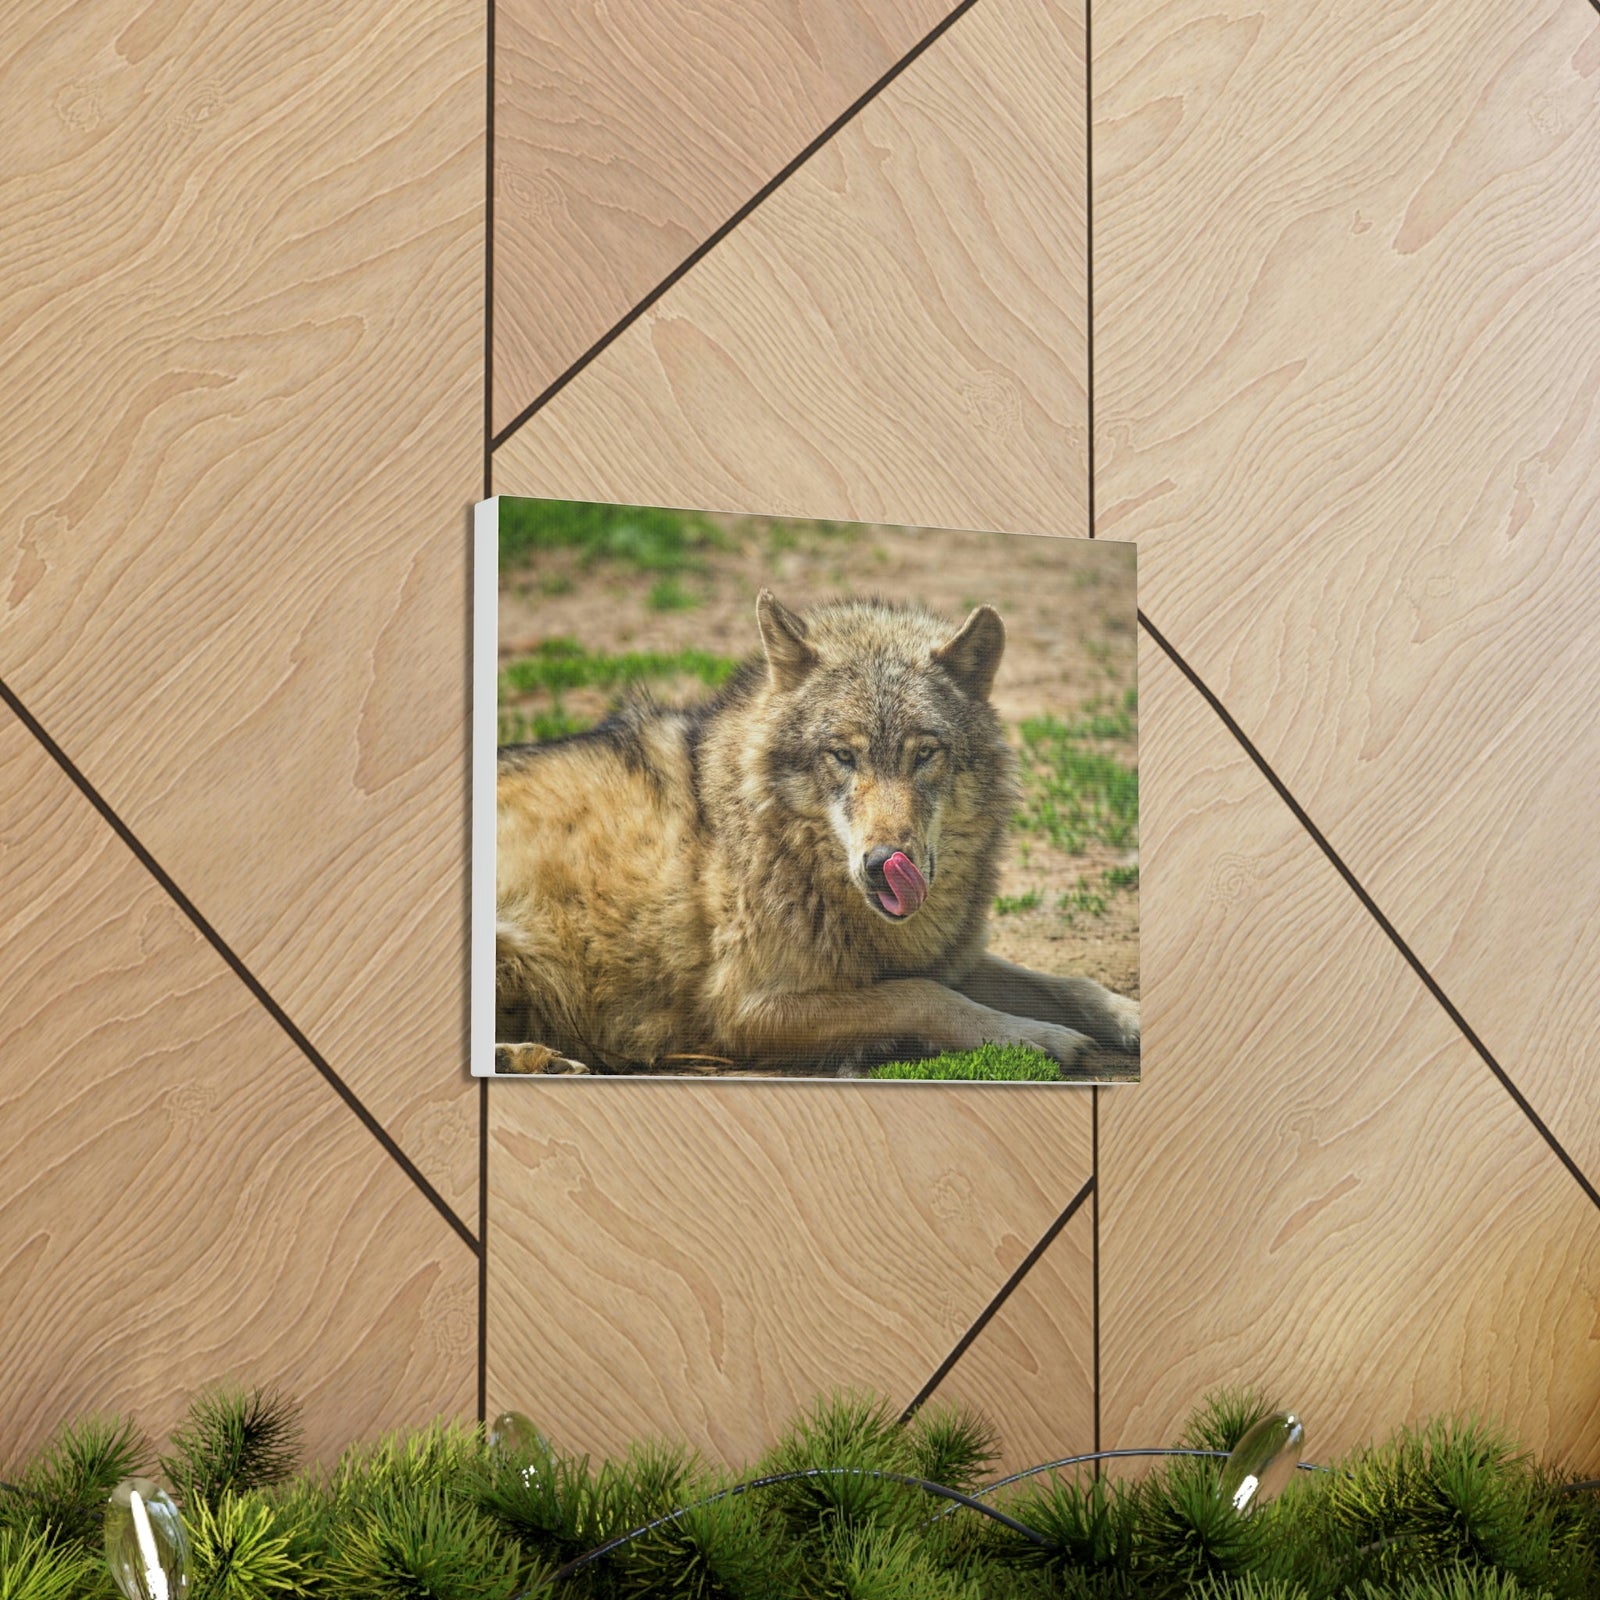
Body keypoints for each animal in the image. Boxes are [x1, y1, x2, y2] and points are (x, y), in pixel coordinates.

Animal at [495, 591, 1140, 1077]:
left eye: (924, 753)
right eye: (842, 756)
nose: (884, 863)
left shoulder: (944, 956)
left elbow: (1071, 984)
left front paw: (1130, 1017)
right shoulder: (744, 1011)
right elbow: (920, 995)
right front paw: (1031, 1037)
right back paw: (534, 1059)